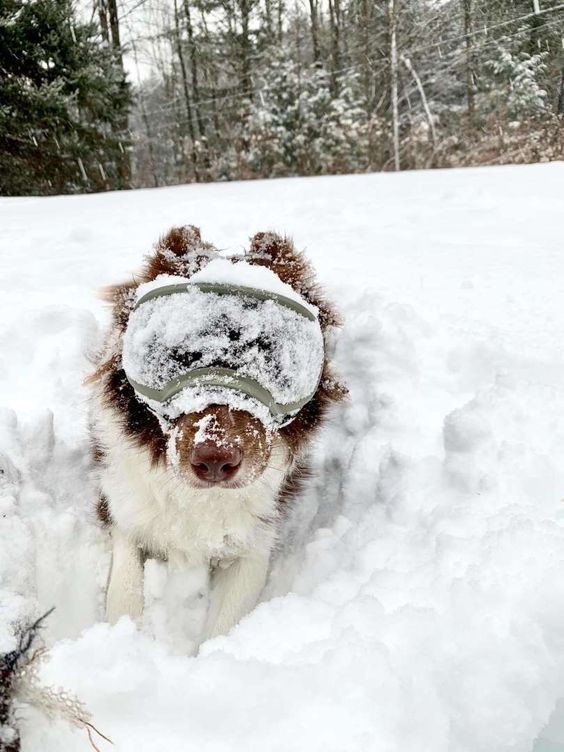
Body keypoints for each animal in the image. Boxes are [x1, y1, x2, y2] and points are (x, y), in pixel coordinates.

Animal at [88, 228, 344, 648]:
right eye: (176, 357)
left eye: (269, 355)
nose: (214, 460)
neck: (198, 499)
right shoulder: (123, 508)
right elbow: (123, 593)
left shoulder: (255, 539)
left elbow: (223, 628)